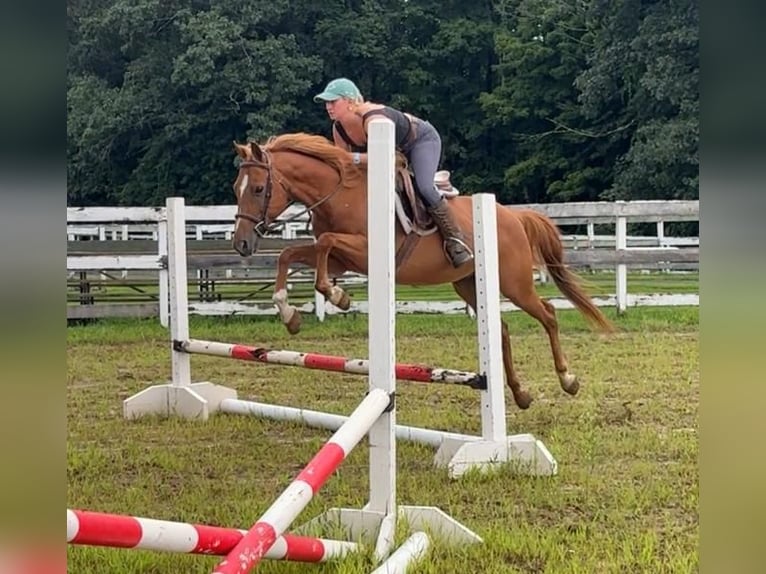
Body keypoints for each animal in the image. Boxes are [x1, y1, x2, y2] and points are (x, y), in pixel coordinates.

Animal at [231, 133, 616, 412]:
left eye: (259, 189)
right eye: (237, 189)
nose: (241, 244)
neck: (341, 193)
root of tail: (513, 216)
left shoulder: (363, 251)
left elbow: (324, 243)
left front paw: (337, 296)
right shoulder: (343, 260)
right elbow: (289, 254)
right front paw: (290, 314)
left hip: (515, 283)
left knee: (548, 314)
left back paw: (568, 379)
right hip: (467, 284)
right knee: (502, 329)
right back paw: (520, 395)